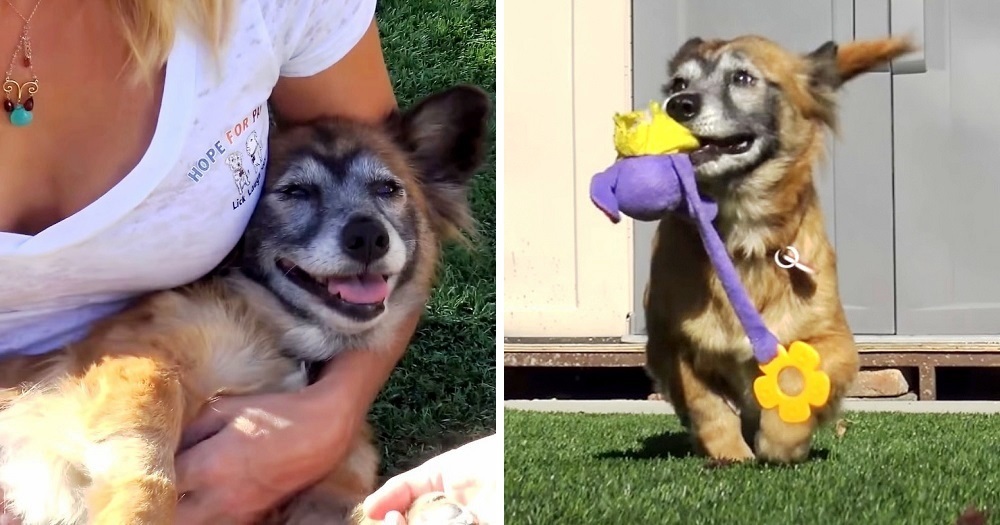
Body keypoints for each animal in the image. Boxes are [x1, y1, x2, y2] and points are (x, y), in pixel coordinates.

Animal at [640, 35, 916, 462]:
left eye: (742, 77)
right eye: (678, 84)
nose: (678, 105)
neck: (741, 238)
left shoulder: (833, 342)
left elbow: (792, 381)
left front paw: (781, 442)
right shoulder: (671, 343)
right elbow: (706, 402)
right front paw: (729, 451)